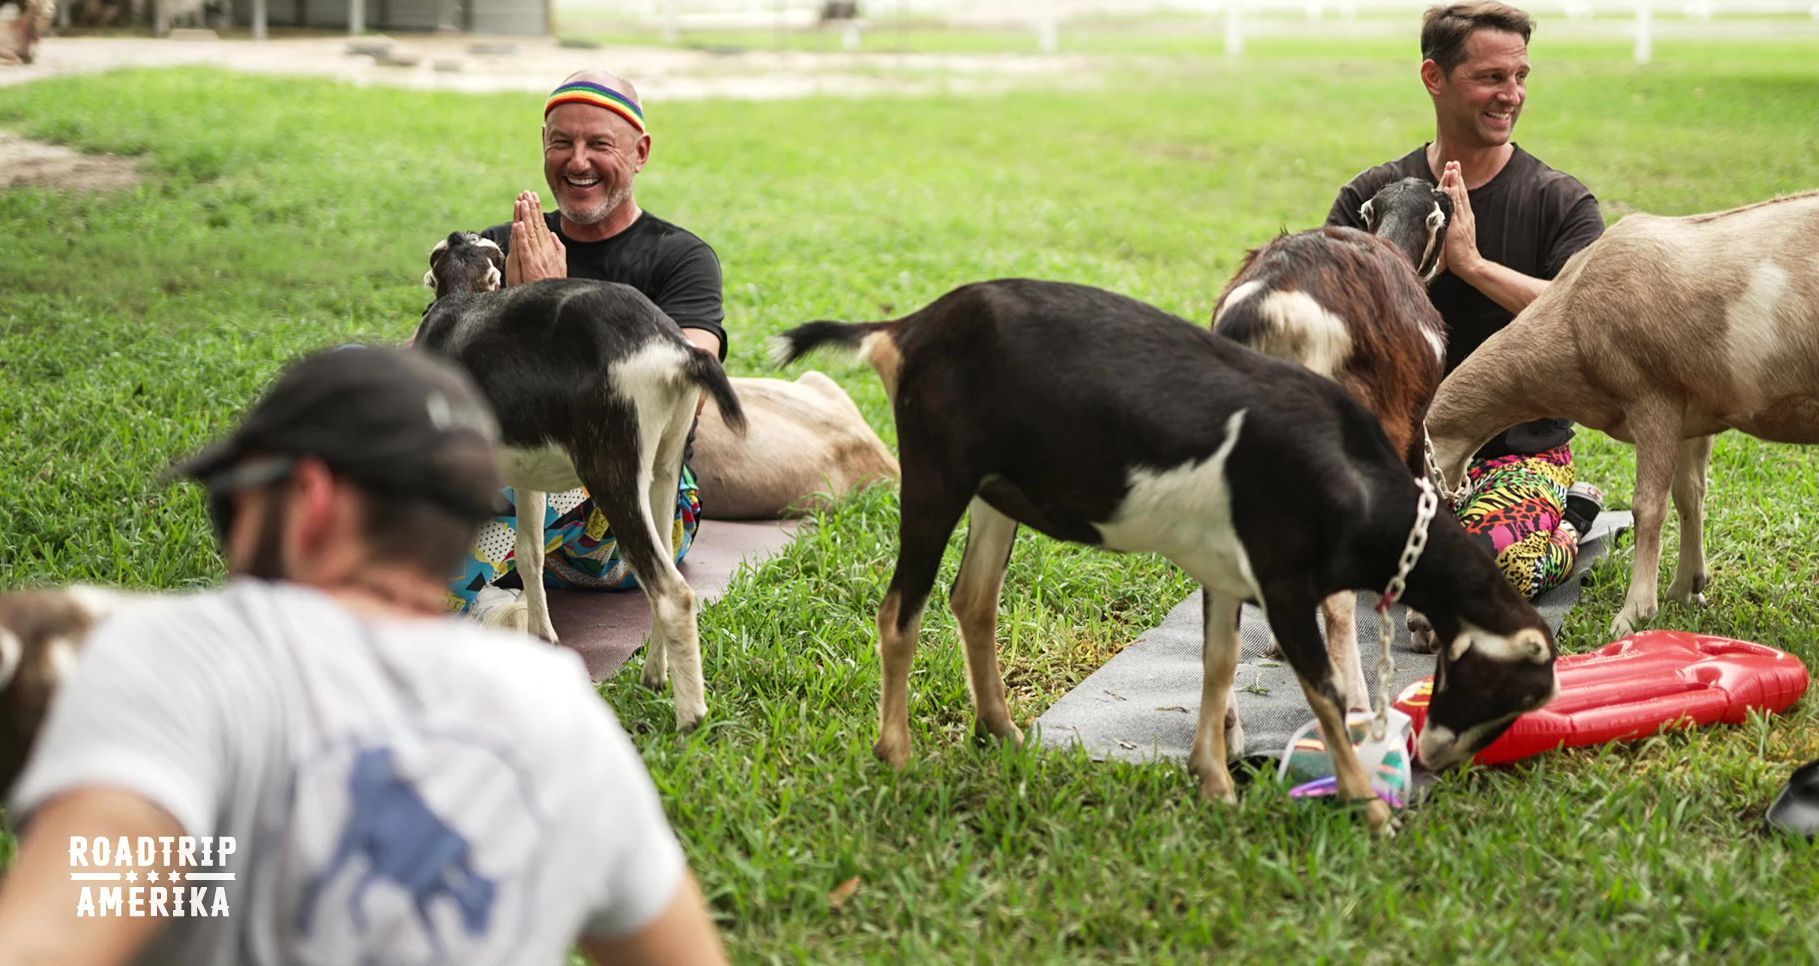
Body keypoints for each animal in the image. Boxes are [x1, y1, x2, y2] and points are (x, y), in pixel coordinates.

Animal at [416, 236, 742, 734]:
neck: (460, 304)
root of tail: (675, 350)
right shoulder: (527, 478)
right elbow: (529, 556)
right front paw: (543, 637)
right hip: (662, 471)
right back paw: (654, 675)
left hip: (612, 474)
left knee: (673, 592)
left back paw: (690, 716)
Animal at [774, 280, 1557, 833]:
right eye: (1514, 688)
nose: (1435, 756)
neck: (1350, 478)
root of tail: (904, 329)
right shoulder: (1282, 579)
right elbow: (1326, 693)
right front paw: (1368, 808)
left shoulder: (1225, 571)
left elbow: (1218, 665)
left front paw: (1214, 782)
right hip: (936, 475)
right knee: (900, 609)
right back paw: (897, 755)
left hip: (995, 491)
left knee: (974, 600)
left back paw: (1001, 731)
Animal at [1426, 188, 1819, 640]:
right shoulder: (1693, 415)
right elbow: (1690, 495)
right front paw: (1686, 588)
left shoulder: (1653, 397)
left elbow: (1647, 507)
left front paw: (1634, 613)